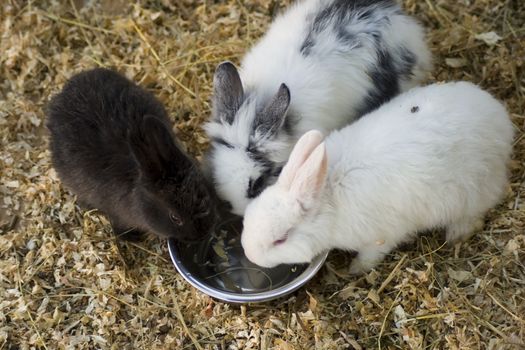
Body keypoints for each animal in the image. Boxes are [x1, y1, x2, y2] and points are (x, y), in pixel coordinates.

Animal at [241, 82, 512, 274]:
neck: (328, 193)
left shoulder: (380, 238)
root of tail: (501, 119)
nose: (249, 253)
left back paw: (456, 235)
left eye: (280, 240)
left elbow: (370, 256)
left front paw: (354, 270)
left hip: (474, 190)